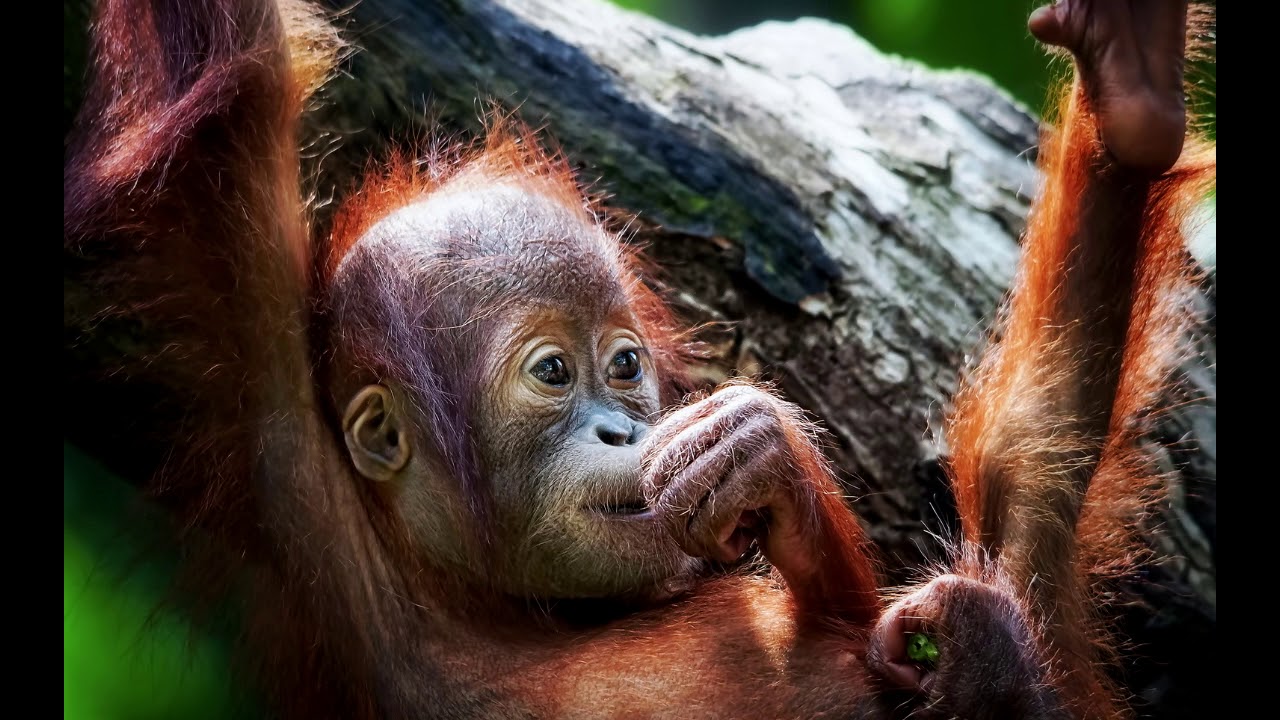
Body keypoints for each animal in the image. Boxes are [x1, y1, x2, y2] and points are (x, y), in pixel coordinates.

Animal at [62, 0, 1214, 718]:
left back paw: (1132, 100)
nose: (625, 426)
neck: (513, 612)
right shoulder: (286, 466)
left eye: (622, 366)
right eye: (552, 375)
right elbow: (226, 90)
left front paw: (756, 452)